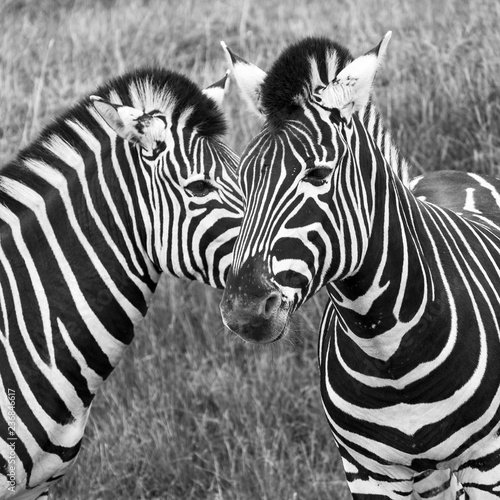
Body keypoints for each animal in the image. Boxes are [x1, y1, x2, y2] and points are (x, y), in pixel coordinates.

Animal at [221, 33, 500, 498]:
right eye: (244, 181)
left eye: (317, 174)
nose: (245, 310)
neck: (388, 353)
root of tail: (450, 173)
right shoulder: (367, 472)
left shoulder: (489, 462)